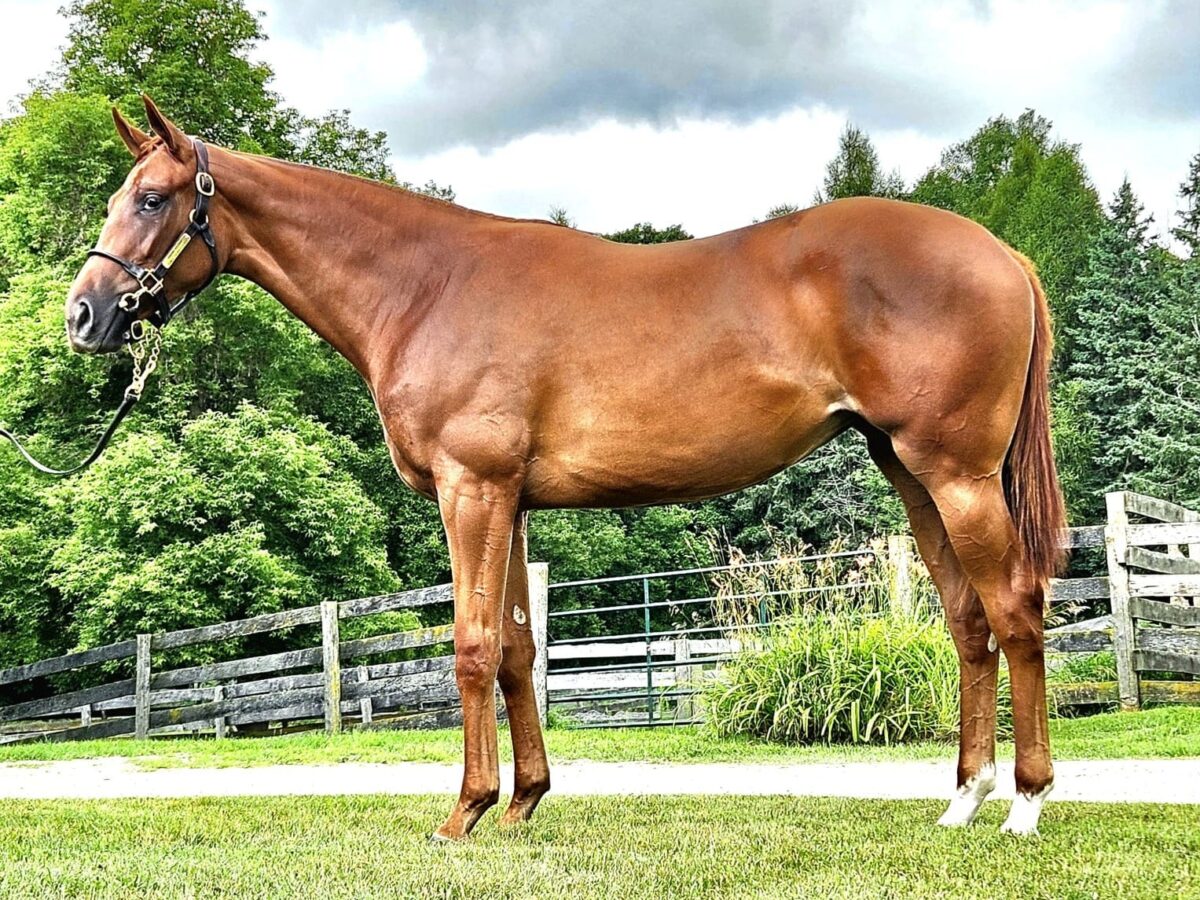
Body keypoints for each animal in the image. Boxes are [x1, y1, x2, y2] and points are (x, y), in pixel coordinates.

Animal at [68, 102, 1060, 844]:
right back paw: (963, 800)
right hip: (910, 472)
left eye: (151, 199)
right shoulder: (509, 500)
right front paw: (522, 803)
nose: (84, 315)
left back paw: (1025, 802)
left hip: (958, 474)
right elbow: (516, 649)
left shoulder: (471, 489)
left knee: (1014, 609)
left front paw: (464, 812)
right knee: (968, 621)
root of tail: (1005, 254)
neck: (426, 288)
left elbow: (471, 646)